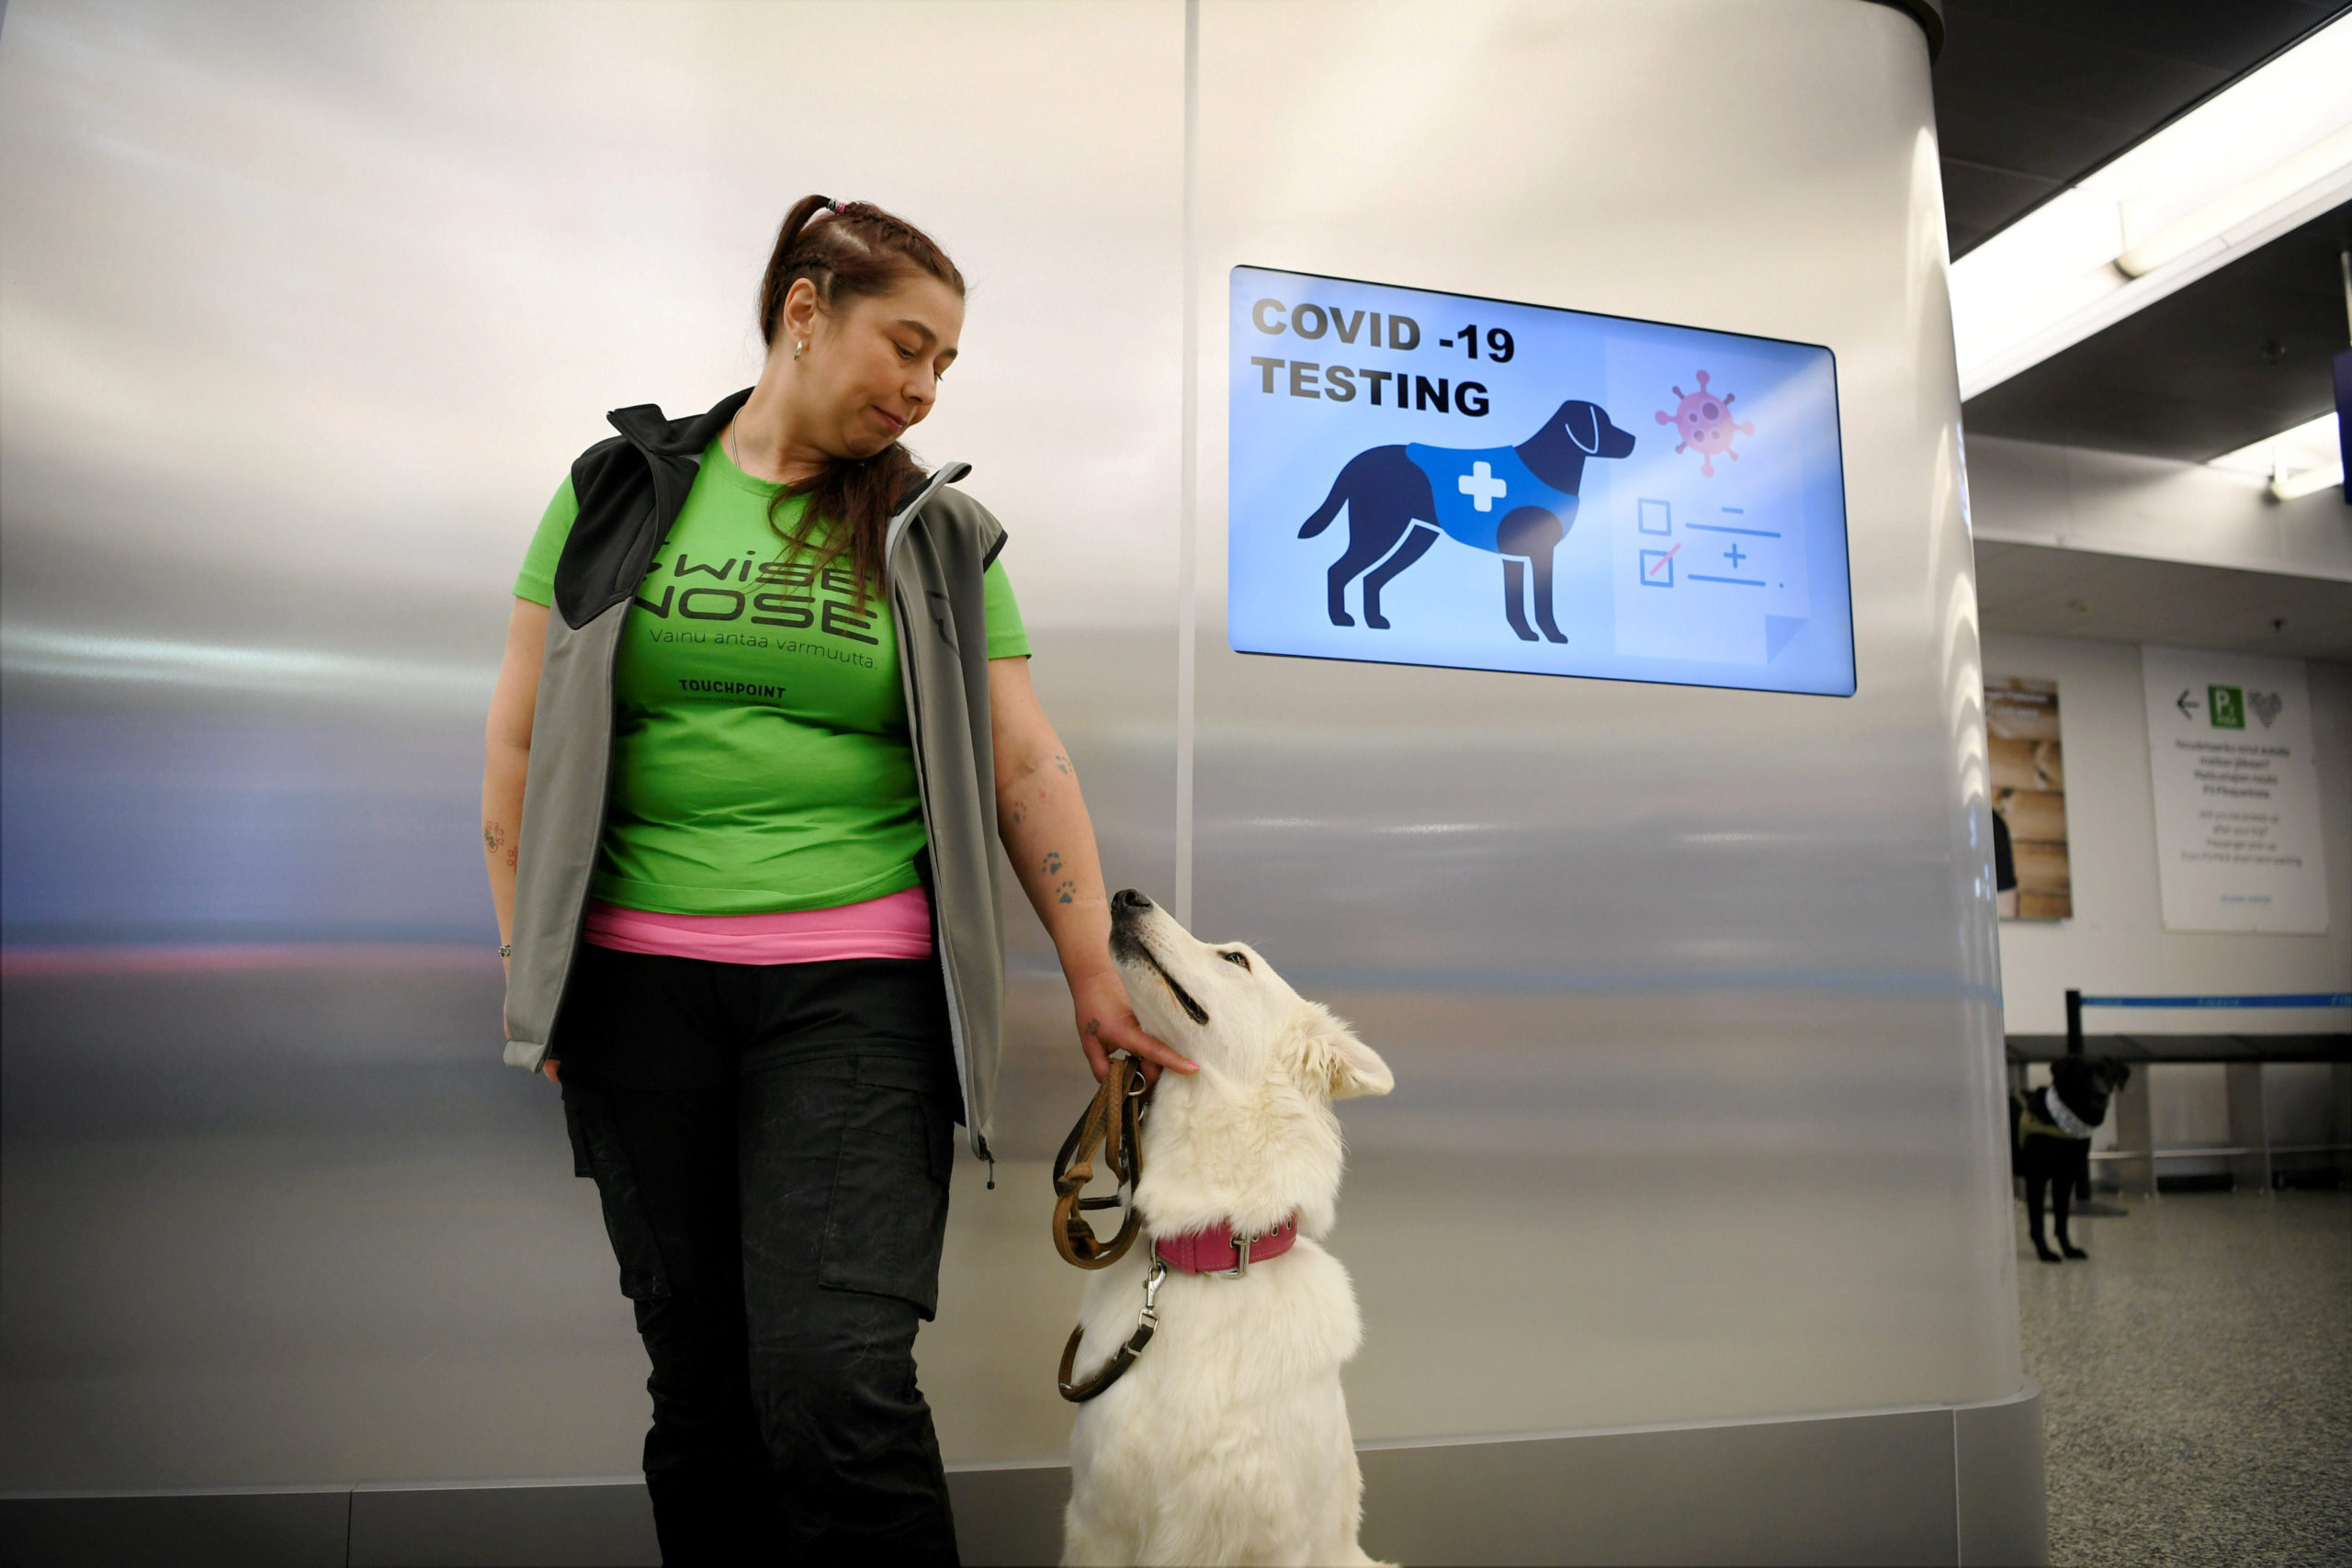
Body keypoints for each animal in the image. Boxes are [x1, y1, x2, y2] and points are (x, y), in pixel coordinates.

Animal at [2004, 1053, 2135, 1259]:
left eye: (2108, 1075)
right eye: (2082, 1075)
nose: (2101, 1094)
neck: (2062, 1121)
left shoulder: (2065, 1178)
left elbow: (2062, 1219)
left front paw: (2069, 1250)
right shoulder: (2037, 1178)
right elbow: (2038, 1220)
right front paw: (2045, 1253)